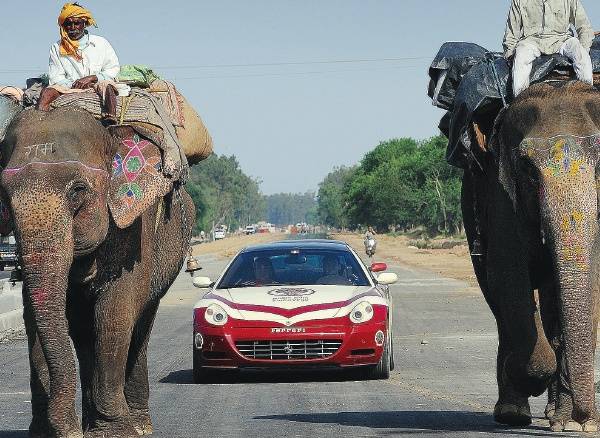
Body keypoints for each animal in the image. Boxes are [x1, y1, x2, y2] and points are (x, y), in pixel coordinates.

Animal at [0, 100, 193, 438]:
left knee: (140, 324)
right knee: (82, 330)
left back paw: (139, 426)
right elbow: (37, 316)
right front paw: (48, 432)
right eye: (5, 197)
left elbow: (114, 314)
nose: (70, 431)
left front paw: (116, 432)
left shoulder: (134, 231)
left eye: (77, 190)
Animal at [464, 81, 600, 432]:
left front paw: (576, 425)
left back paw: (556, 416)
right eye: (527, 169)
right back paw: (513, 410)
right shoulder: (499, 191)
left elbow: (593, 283)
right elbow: (507, 276)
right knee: (495, 294)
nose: (584, 417)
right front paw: (528, 376)